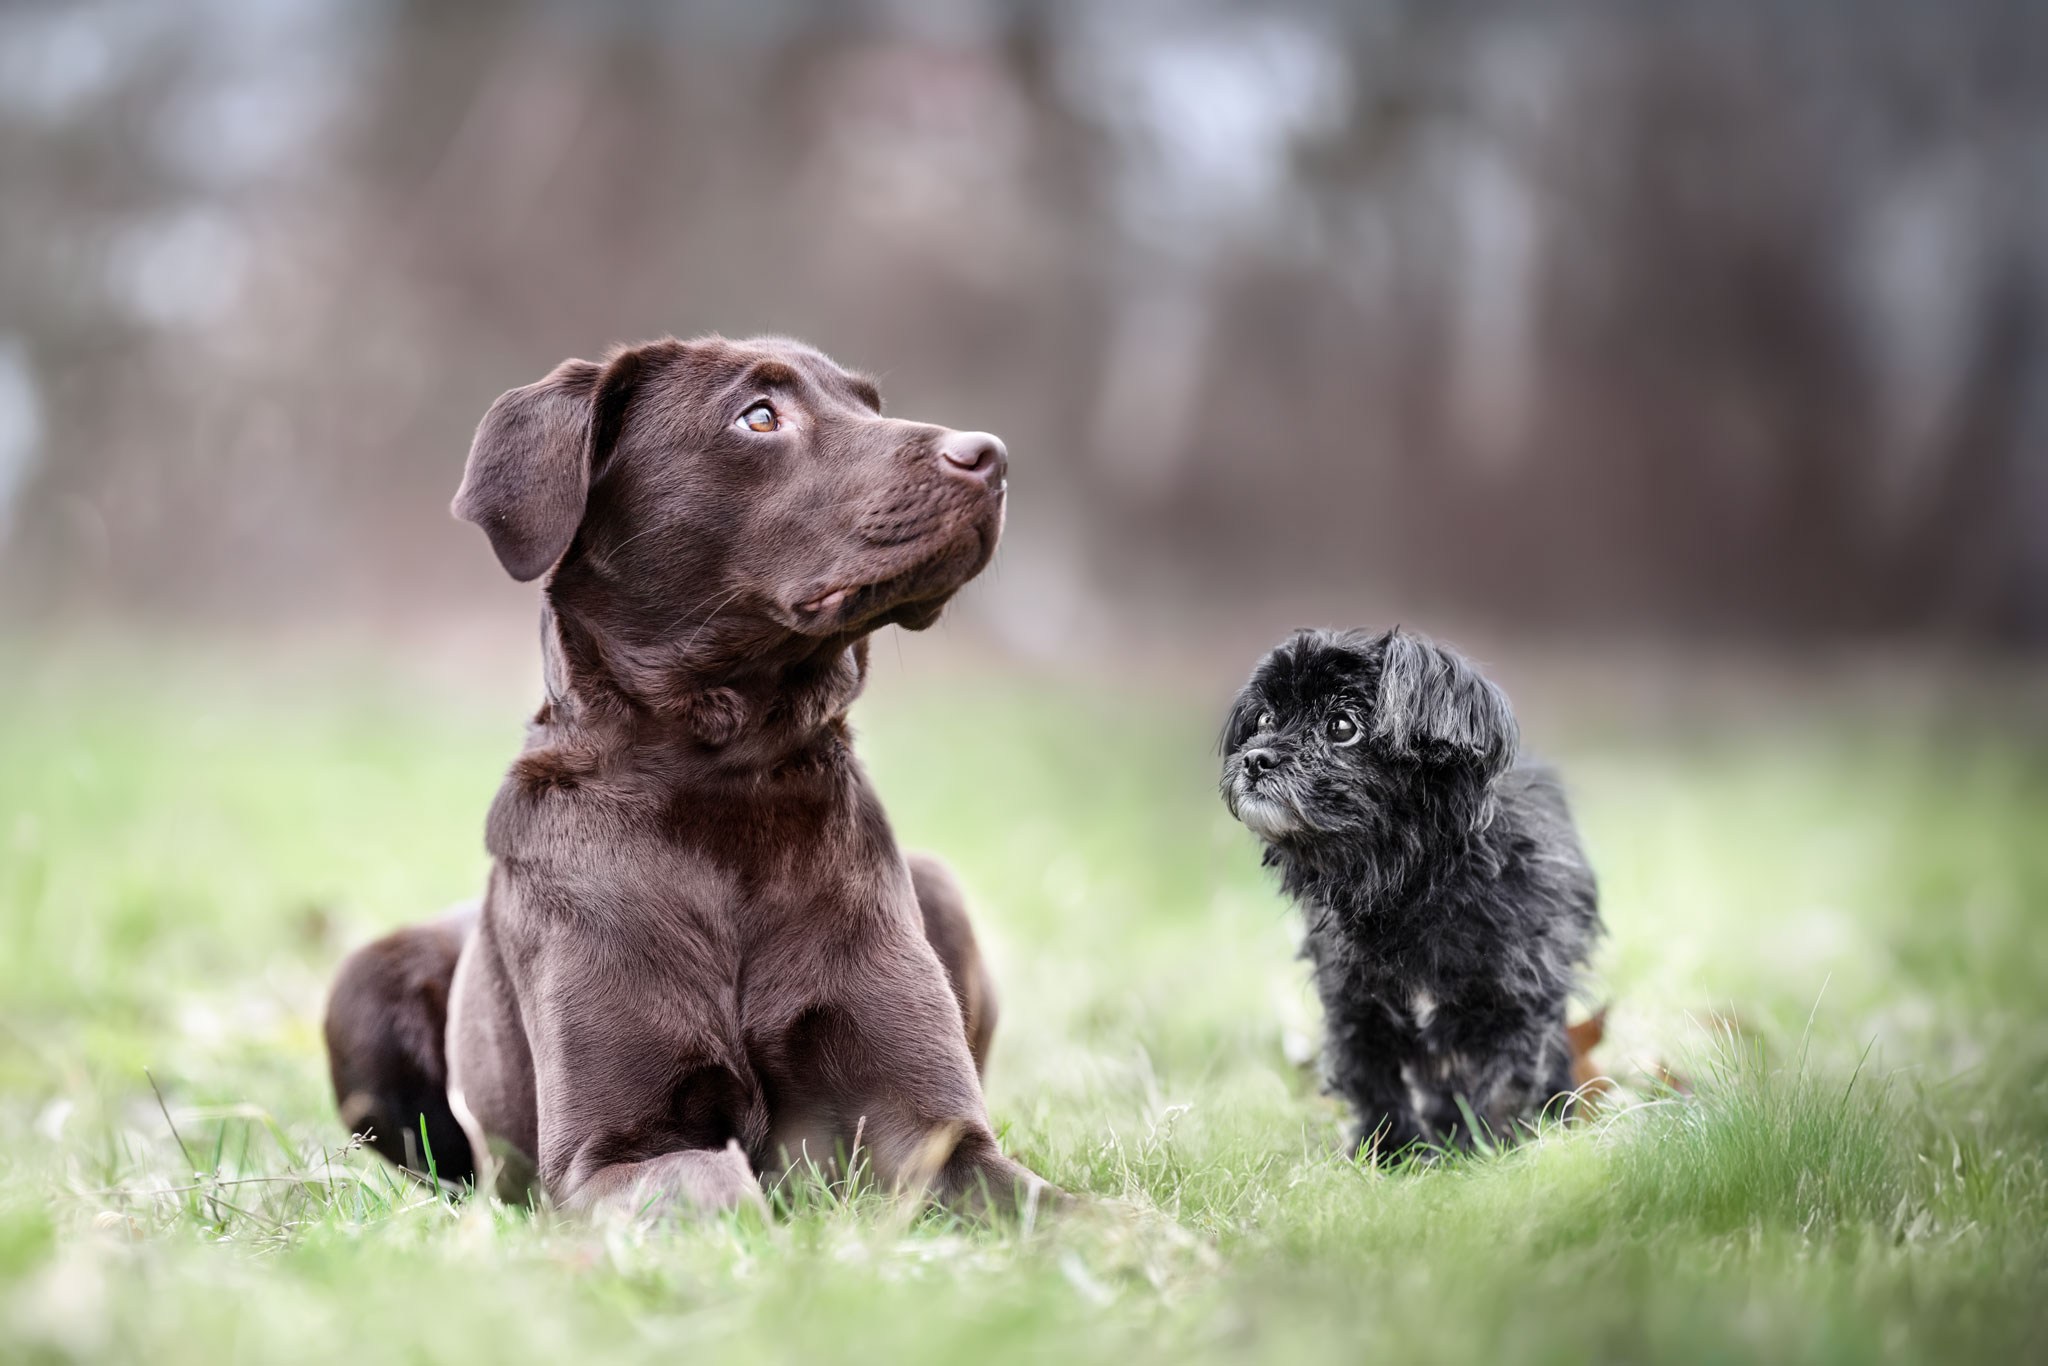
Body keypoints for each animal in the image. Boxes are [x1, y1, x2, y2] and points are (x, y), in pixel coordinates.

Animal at [1212, 626, 1597, 1155]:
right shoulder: (1355, 1005)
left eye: (1341, 726)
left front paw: (1485, 1155)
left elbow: (1501, 1086)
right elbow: (1376, 1085)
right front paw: (1392, 1156)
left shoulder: (1516, 1003)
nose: (1254, 757)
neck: (1411, 885)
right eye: (1266, 719)